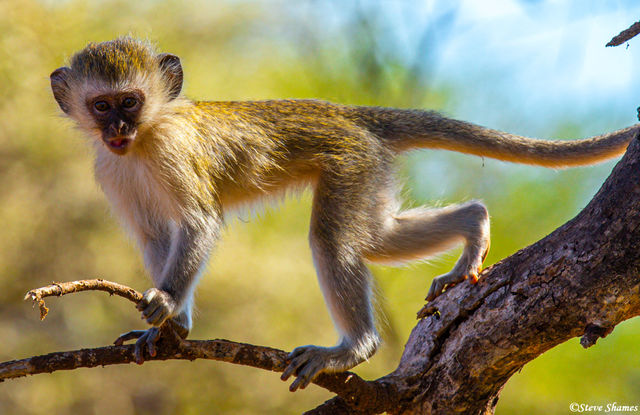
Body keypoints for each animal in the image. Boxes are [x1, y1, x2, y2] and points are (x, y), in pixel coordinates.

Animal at [49, 37, 637, 391]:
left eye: (130, 101)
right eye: (102, 105)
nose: (116, 129)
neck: (147, 137)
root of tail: (348, 114)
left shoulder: (172, 153)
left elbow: (198, 224)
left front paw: (169, 300)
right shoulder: (111, 170)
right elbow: (155, 235)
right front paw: (175, 324)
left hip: (351, 163)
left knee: (333, 240)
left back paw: (354, 348)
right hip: (368, 170)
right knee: (376, 237)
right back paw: (473, 226)